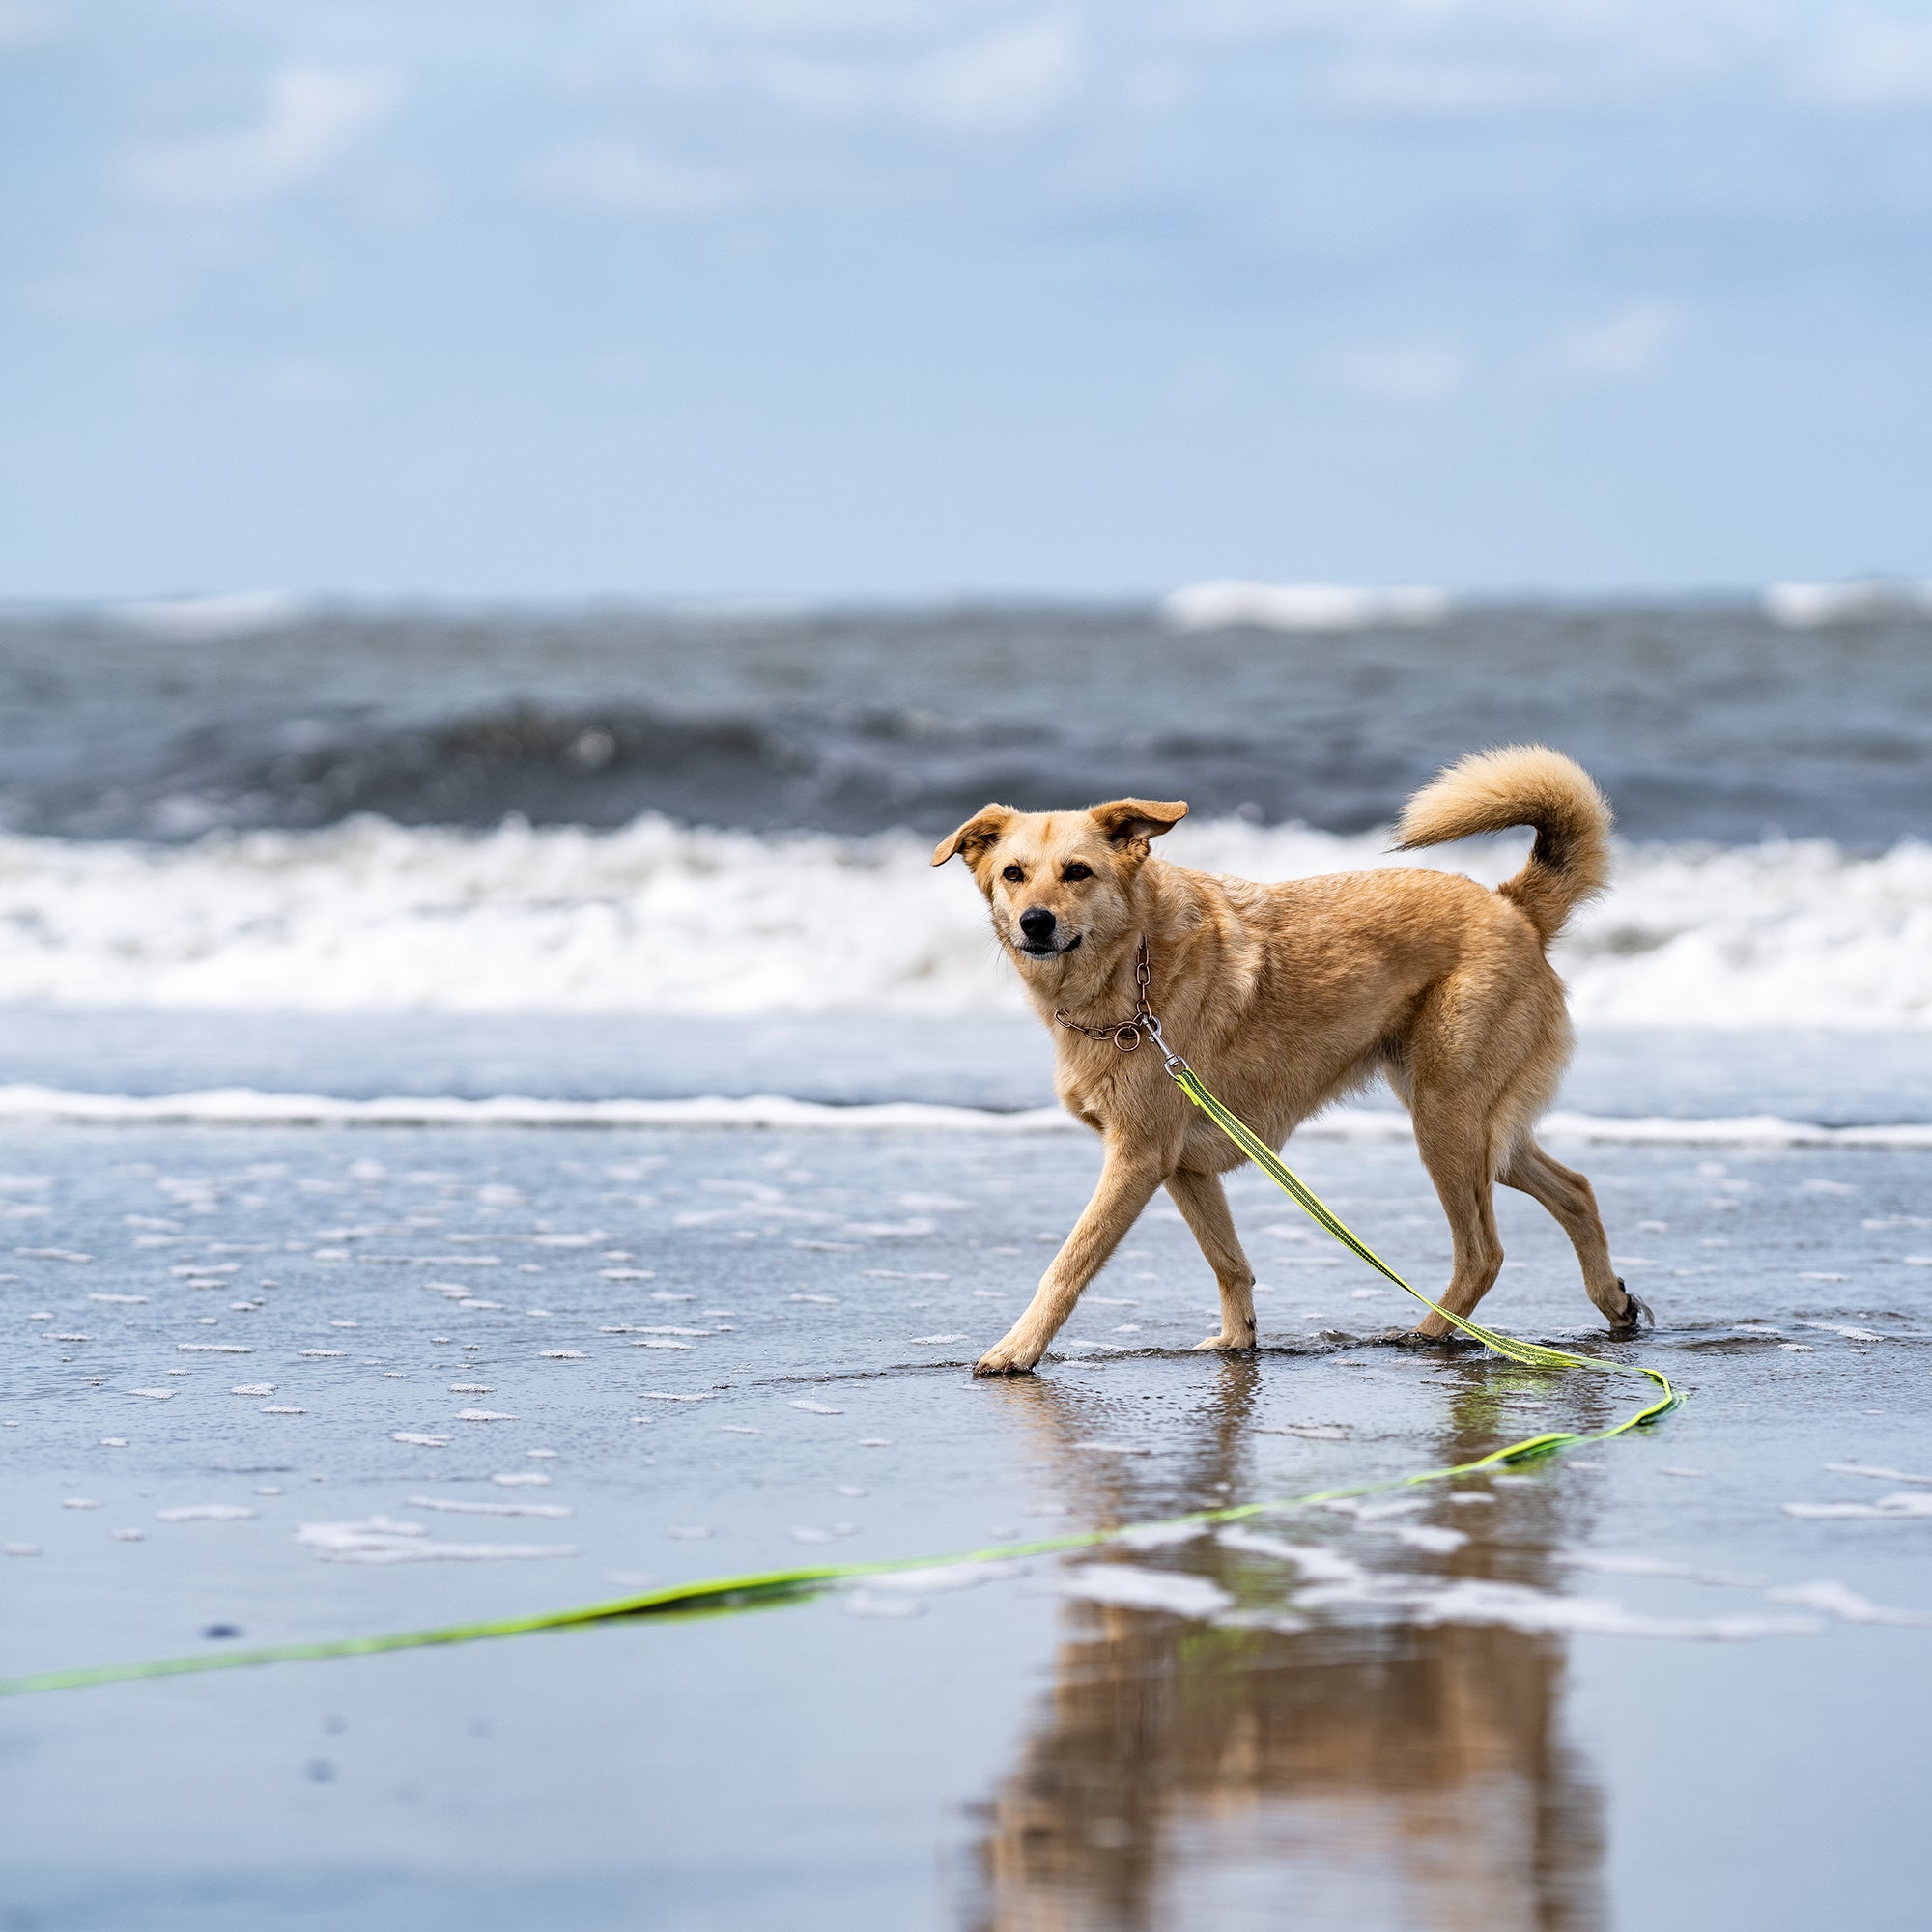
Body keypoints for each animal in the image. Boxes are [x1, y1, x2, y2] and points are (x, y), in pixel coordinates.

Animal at [927, 738, 1638, 1376]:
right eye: (1013, 874)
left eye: (1078, 871)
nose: (1035, 923)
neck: (1134, 980)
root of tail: (1512, 905)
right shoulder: (1184, 1166)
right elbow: (1228, 1261)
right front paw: (1237, 1341)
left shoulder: (1138, 1158)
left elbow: (1067, 1265)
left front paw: (1017, 1350)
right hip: (1477, 1124)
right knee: (1574, 1189)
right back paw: (1613, 1303)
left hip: (1447, 1121)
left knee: (1484, 1252)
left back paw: (1431, 1332)